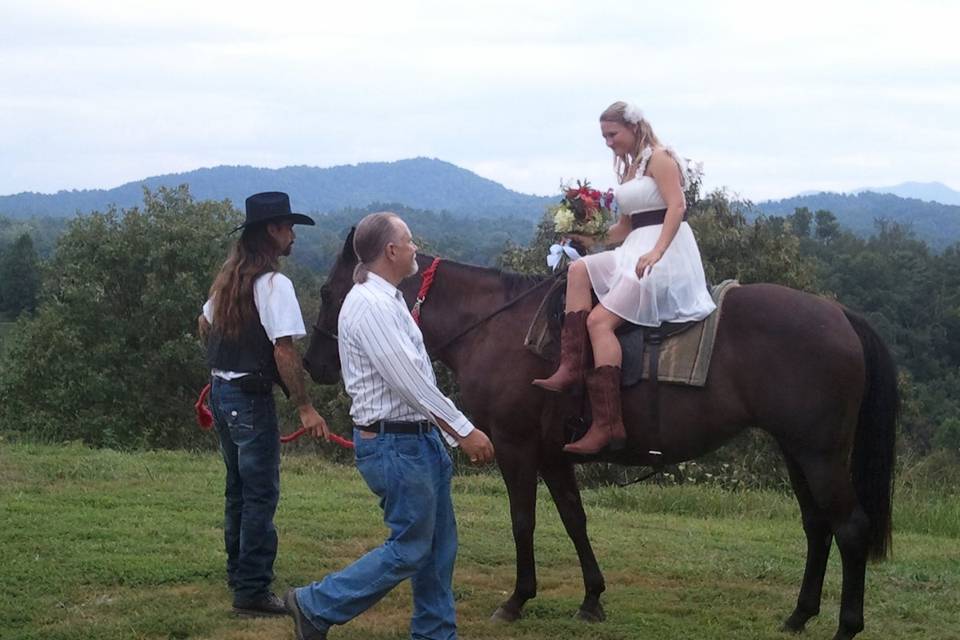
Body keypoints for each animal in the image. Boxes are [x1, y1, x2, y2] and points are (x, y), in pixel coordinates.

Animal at [308, 231, 900, 640]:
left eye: (327, 290)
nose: (316, 363)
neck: (497, 327)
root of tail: (839, 314)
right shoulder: (554, 453)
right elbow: (574, 519)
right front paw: (592, 598)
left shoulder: (516, 447)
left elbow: (523, 521)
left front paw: (517, 599)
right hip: (798, 451)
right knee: (817, 527)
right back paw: (800, 614)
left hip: (820, 454)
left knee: (849, 528)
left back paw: (845, 626)